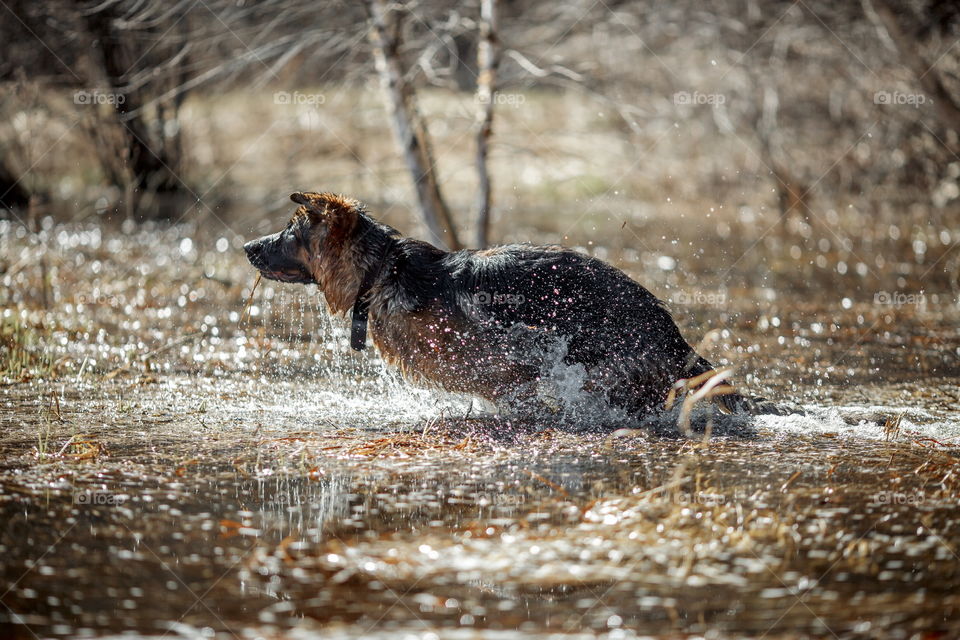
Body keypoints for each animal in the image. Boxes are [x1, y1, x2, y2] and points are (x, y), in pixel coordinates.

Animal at [244, 192, 784, 418]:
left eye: (290, 231)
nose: (247, 246)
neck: (382, 271)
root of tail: (673, 333)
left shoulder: (507, 368)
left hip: (607, 370)